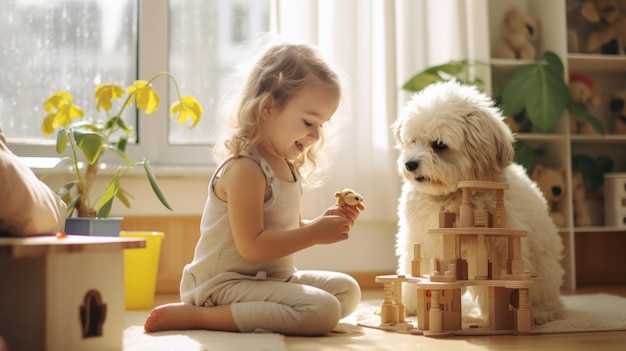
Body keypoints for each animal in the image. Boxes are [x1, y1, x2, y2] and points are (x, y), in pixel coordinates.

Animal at [392, 81, 564, 326]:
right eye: (413, 141)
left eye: (440, 145)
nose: (410, 164)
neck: (450, 195)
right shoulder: (421, 240)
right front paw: (412, 307)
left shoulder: (497, 248)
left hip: (544, 263)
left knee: (547, 295)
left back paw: (543, 312)